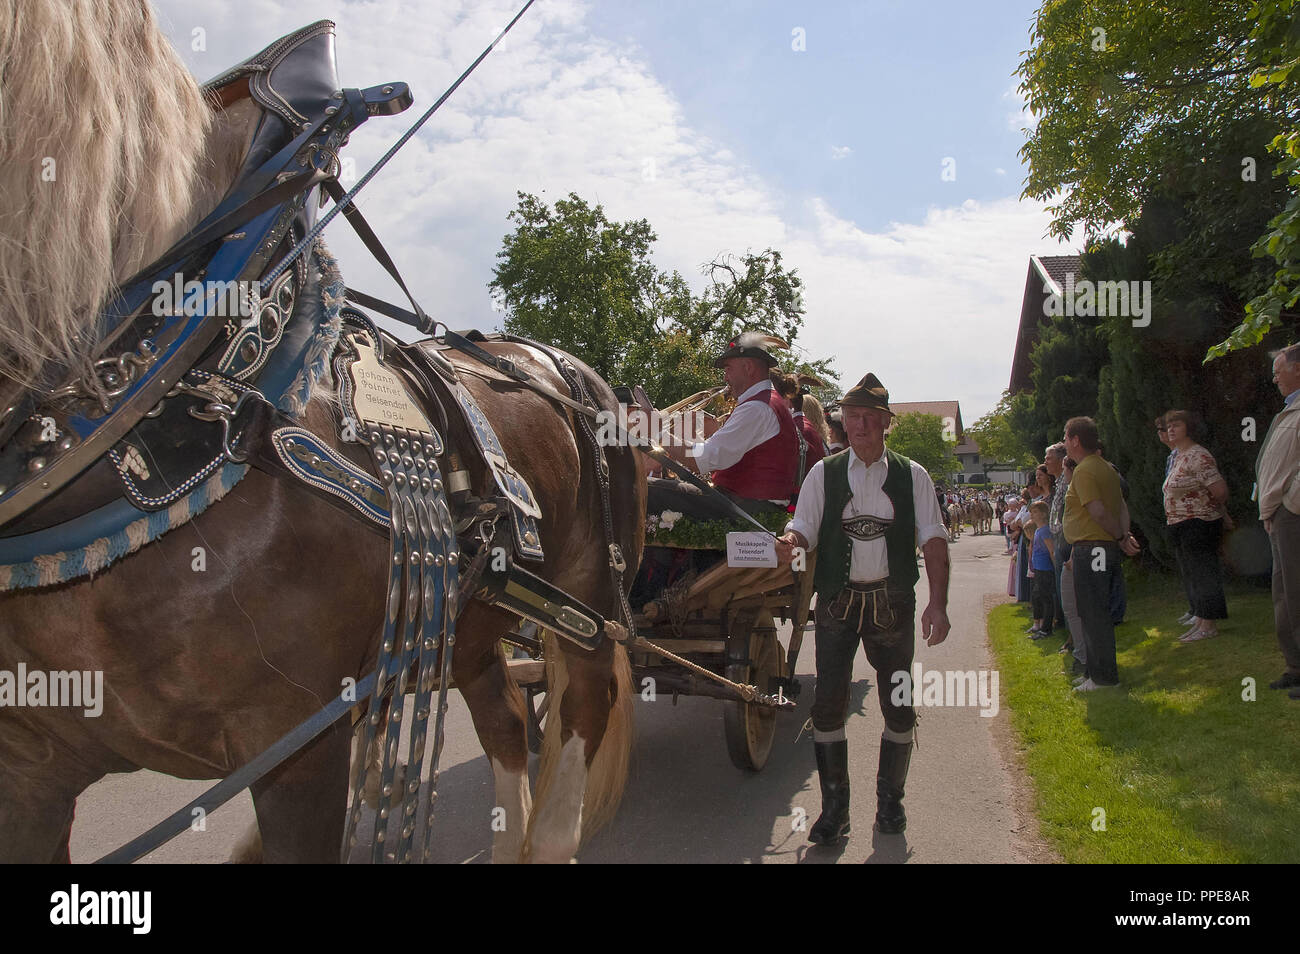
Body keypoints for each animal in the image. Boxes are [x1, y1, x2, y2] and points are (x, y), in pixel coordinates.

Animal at [0, 1, 644, 868]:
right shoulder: (29, 766)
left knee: (582, 707)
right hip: (472, 617)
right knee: (507, 715)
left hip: (588, 600)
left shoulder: (299, 745)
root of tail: (563, 363)